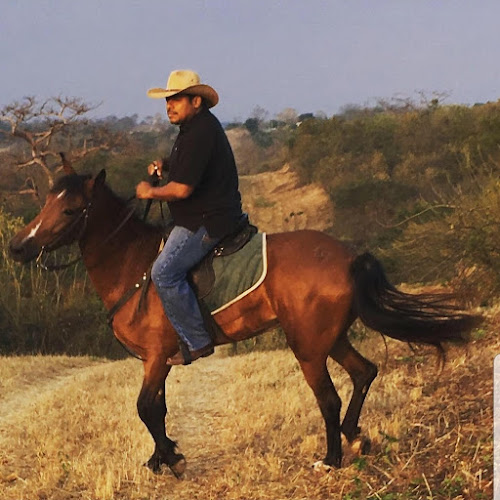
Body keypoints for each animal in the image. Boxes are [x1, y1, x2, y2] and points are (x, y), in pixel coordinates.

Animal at [7, 163, 478, 476]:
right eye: (46, 200)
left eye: (71, 211)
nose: (17, 247)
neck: (135, 266)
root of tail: (347, 257)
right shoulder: (156, 362)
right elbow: (157, 409)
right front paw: (161, 456)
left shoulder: (157, 357)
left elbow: (144, 408)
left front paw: (172, 460)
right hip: (329, 338)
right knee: (364, 372)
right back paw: (355, 436)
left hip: (307, 347)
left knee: (328, 397)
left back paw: (330, 460)